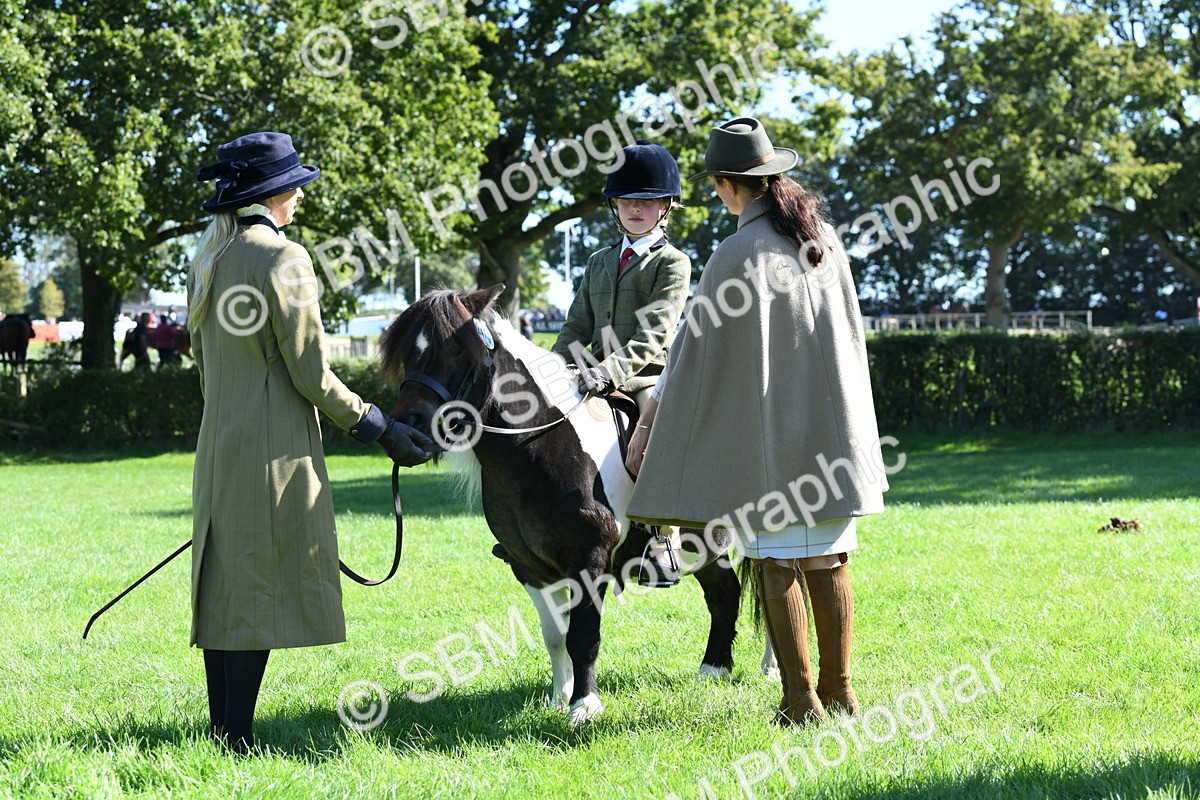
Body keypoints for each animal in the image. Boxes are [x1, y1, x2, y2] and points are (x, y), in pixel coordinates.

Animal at [379, 285, 760, 724]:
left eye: (457, 350)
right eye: (408, 353)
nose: (404, 428)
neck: (542, 444)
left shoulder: (590, 560)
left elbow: (583, 634)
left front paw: (583, 706)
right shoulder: (529, 567)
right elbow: (555, 635)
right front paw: (559, 697)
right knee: (725, 594)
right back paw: (713, 670)